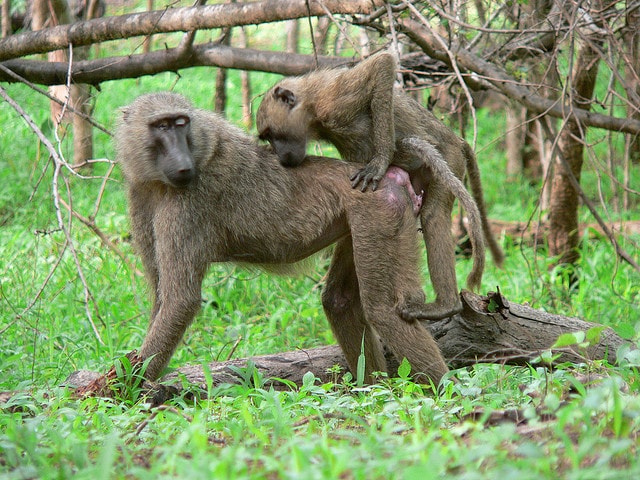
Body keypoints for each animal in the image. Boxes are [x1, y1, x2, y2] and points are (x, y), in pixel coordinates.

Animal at [115, 92, 449, 385]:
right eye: (162, 126)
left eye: (181, 123)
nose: (184, 165)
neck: (159, 182)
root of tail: (386, 173)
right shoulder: (140, 196)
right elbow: (162, 298)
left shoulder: (185, 207)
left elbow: (179, 302)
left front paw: (125, 391)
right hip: (363, 219)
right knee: (339, 301)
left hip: (379, 209)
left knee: (384, 311)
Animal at [256, 51, 504, 321]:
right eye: (267, 137)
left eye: (273, 134)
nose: (281, 157)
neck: (311, 110)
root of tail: (457, 139)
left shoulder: (334, 100)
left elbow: (382, 65)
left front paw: (380, 162)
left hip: (450, 157)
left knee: (433, 215)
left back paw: (445, 305)